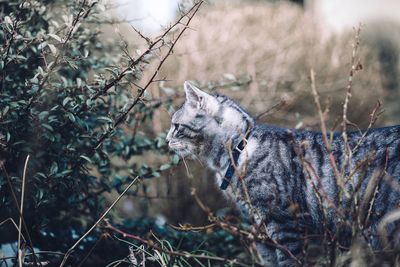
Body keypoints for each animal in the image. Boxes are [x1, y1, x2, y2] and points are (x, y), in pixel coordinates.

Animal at [166, 81, 400, 266]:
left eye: (176, 126)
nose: (166, 140)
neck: (238, 151)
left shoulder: (285, 224)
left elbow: (288, 261)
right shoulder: (259, 229)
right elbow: (269, 261)